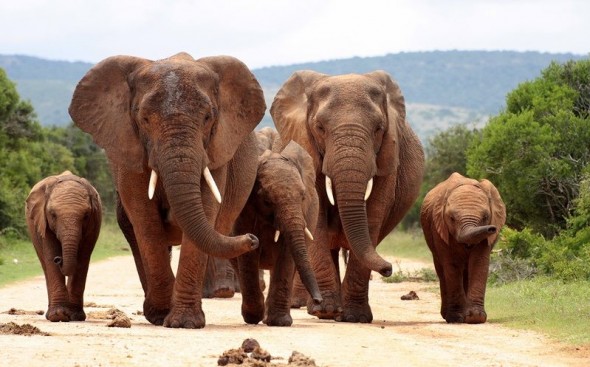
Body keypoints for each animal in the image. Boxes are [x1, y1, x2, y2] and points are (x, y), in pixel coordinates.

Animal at [69, 52, 266, 330]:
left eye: (208, 118)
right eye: (144, 119)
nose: (252, 238)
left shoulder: (215, 151)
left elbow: (206, 211)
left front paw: (184, 322)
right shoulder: (130, 150)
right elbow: (145, 221)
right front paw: (163, 315)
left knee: (222, 233)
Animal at [232, 129, 324, 328]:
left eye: (303, 197)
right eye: (267, 201)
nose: (318, 300)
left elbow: (286, 253)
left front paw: (279, 322)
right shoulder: (244, 210)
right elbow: (248, 253)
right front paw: (253, 317)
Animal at [272, 70, 426, 324]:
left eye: (379, 128)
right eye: (320, 127)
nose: (388, 269)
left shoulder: (387, 158)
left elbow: (373, 215)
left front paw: (355, 317)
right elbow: (318, 219)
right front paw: (326, 311)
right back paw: (319, 309)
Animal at [420, 172, 508, 324]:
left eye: (486, 217)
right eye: (451, 218)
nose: (492, 229)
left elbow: (479, 262)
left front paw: (475, 317)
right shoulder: (440, 229)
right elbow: (452, 265)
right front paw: (456, 318)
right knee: (442, 271)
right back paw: (447, 316)